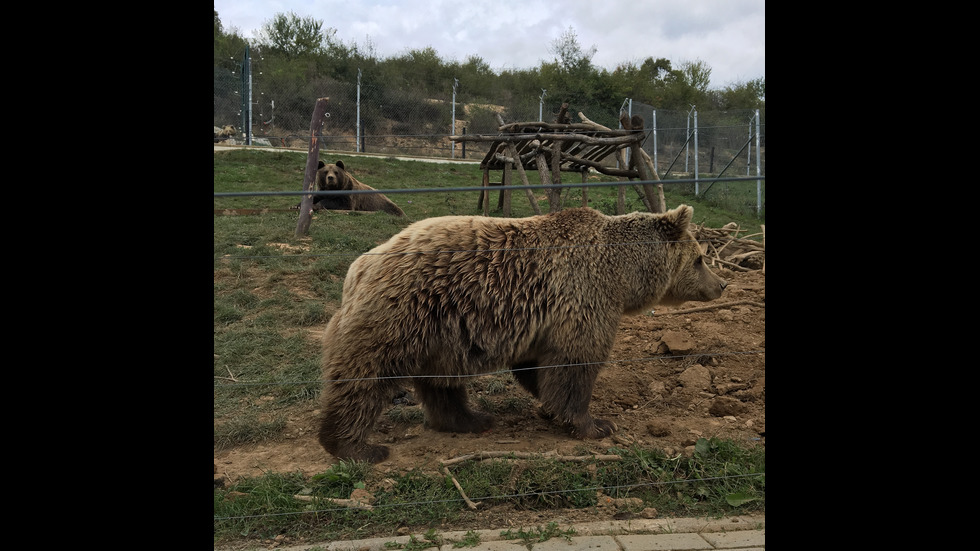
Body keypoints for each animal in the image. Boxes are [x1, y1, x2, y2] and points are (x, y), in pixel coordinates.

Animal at [318, 205, 724, 464]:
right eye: (700, 258)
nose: (720, 284)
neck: (622, 275)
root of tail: (360, 266)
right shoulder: (584, 298)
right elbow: (574, 365)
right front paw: (596, 424)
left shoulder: (544, 320)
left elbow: (538, 367)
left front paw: (551, 408)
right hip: (406, 311)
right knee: (366, 376)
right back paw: (355, 447)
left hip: (442, 333)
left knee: (441, 382)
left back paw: (472, 420)